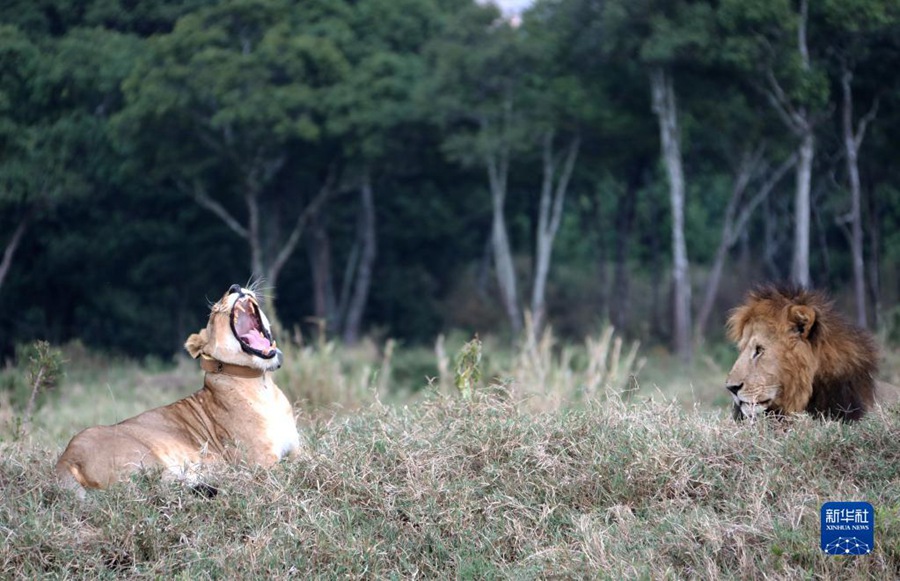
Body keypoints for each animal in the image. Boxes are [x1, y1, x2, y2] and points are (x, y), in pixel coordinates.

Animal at [56, 284, 302, 492]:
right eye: (214, 312)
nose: (235, 287)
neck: (262, 384)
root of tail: (66, 459)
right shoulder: (261, 463)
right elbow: (293, 472)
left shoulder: (297, 450)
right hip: (147, 458)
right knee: (158, 487)